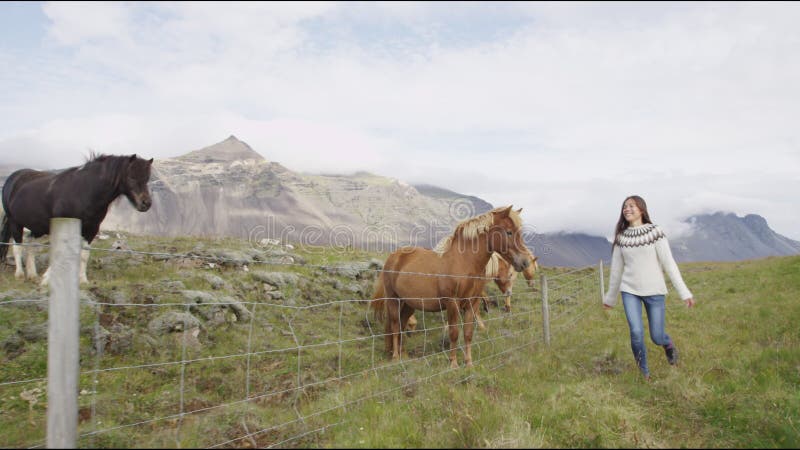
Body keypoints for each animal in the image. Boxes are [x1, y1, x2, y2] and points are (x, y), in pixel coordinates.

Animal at [1, 153, 153, 284]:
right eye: (131, 177)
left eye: (147, 178)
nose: (146, 203)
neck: (84, 191)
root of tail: (14, 177)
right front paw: (48, 278)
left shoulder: (91, 229)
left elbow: (84, 255)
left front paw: (82, 280)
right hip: (15, 222)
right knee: (17, 246)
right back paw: (20, 274)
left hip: (37, 227)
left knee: (30, 243)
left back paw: (32, 274)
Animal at [370, 206, 532, 368]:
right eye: (509, 232)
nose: (525, 262)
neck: (463, 262)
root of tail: (393, 257)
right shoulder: (452, 303)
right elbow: (454, 333)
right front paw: (453, 363)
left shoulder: (473, 302)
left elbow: (468, 333)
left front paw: (468, 363)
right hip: (393, 299)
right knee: (395, 325)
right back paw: (396, 357)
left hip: (409, 304)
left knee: (402, 324)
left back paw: (402, 353)